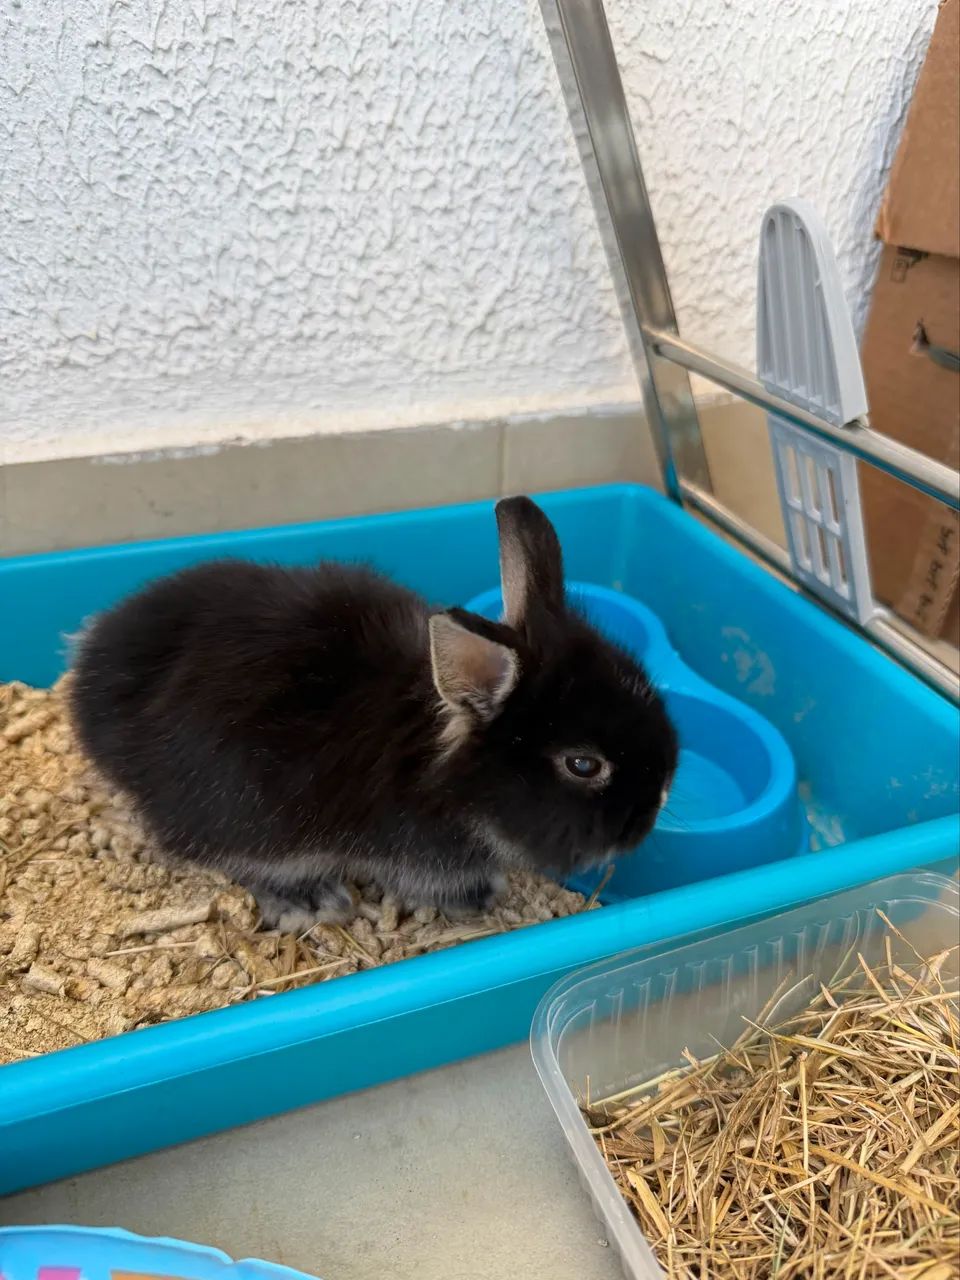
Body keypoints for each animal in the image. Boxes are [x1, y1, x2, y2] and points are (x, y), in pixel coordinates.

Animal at [69, 496, 678, 932]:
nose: (652, 812)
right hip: (245, 820)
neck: (440, 758)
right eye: (583, 765)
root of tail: (87, 681)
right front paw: (485, 896)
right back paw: (310, 898)